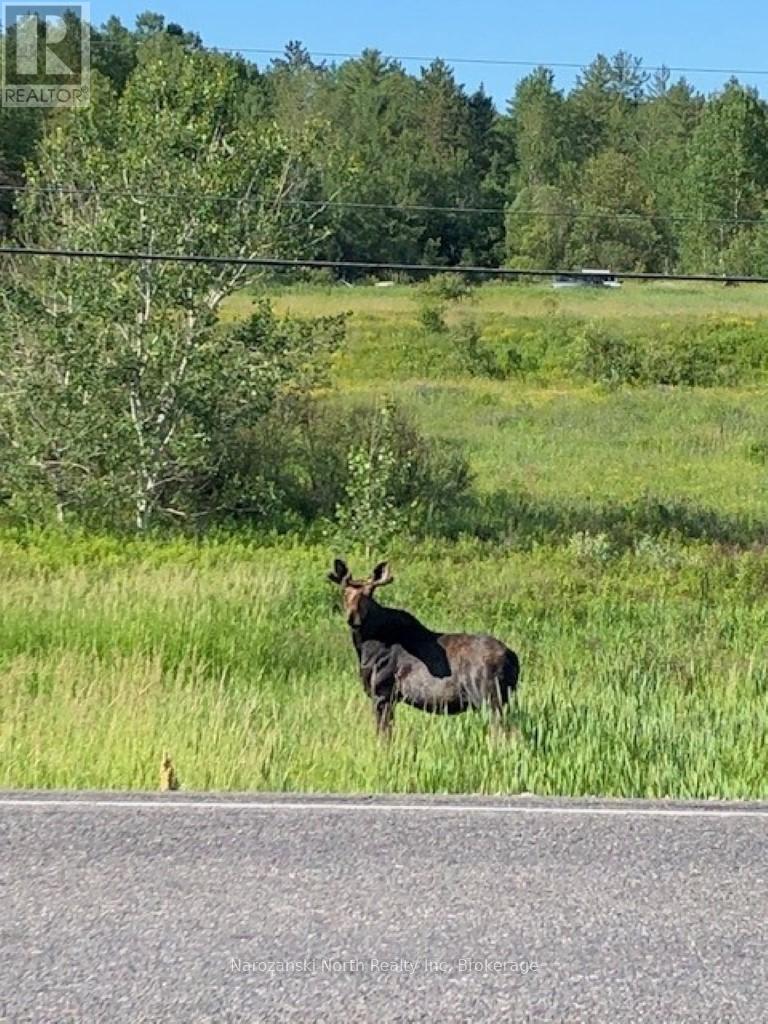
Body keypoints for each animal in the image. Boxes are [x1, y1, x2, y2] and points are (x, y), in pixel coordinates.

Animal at [327, 561, 520, 737]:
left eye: (369, 594)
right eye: (344, 591)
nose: (353, 617)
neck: (364, 646)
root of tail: (513, 659)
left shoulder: (383, 693)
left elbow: (384, 735)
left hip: (489, 697)